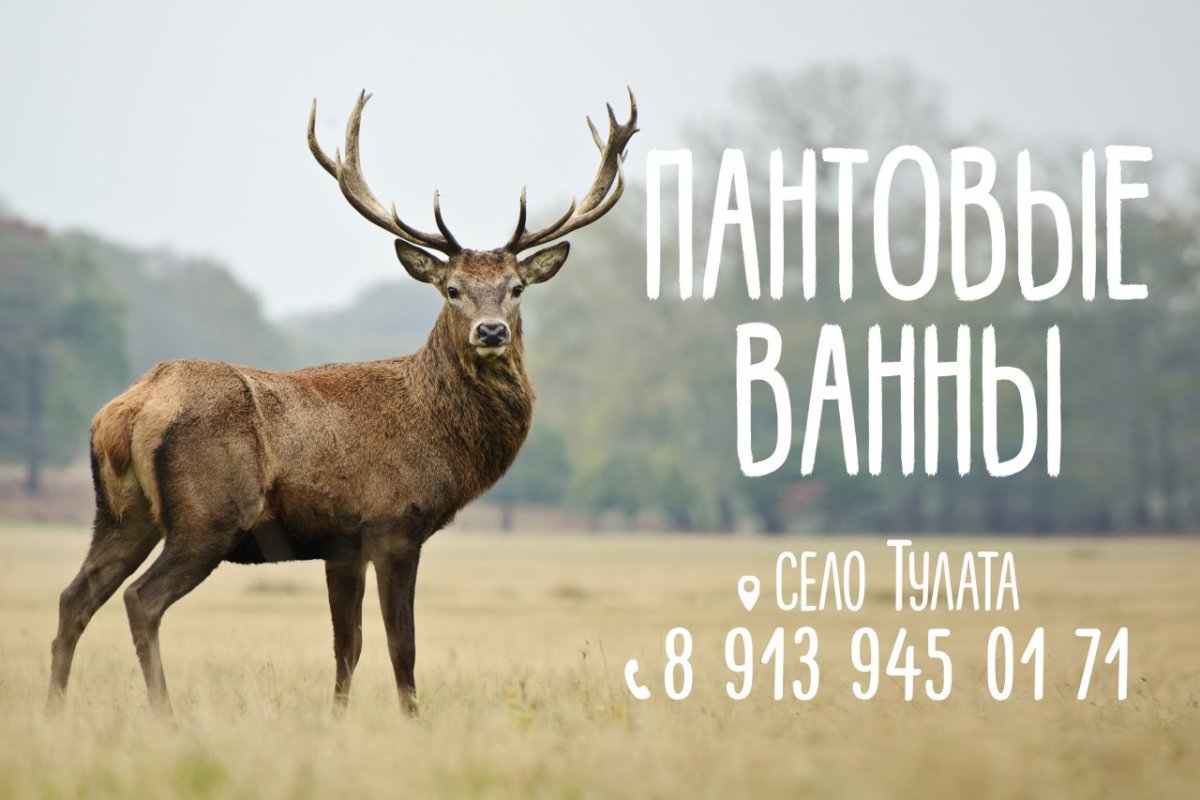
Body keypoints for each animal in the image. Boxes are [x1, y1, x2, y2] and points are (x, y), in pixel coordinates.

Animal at [46, 89, 637, 715]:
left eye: (516, 288)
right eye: (452, 289)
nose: (492, 331)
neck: (439, 434)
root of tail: (127, 410)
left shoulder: (341, 544)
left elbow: (346, 646)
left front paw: (337, 718)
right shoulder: (394, 523)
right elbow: (402, 645)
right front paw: (412, 718)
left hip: (120, 513)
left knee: (74, 597)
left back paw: (54, 710)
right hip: (207, 515)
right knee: (141, 599)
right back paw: (165, 714)